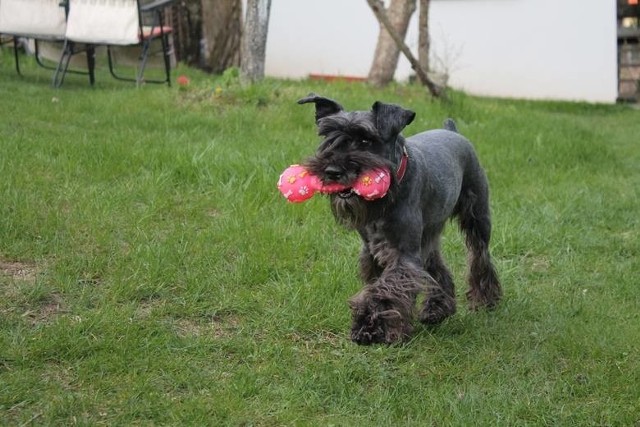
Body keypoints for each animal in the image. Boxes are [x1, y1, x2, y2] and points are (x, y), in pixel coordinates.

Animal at [298, 93, 502, 344]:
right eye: (329, 137)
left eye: (366, 140)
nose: (332, 171)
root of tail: (452, 131)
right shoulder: (373, 250)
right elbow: (376, 286)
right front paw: (370, 325)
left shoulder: (403, 254)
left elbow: (388, 288)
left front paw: (377, 327)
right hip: (428, 234)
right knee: (436, 265)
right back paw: (437, 309)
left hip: (477, 220)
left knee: (479, 255)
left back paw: (485, 300)